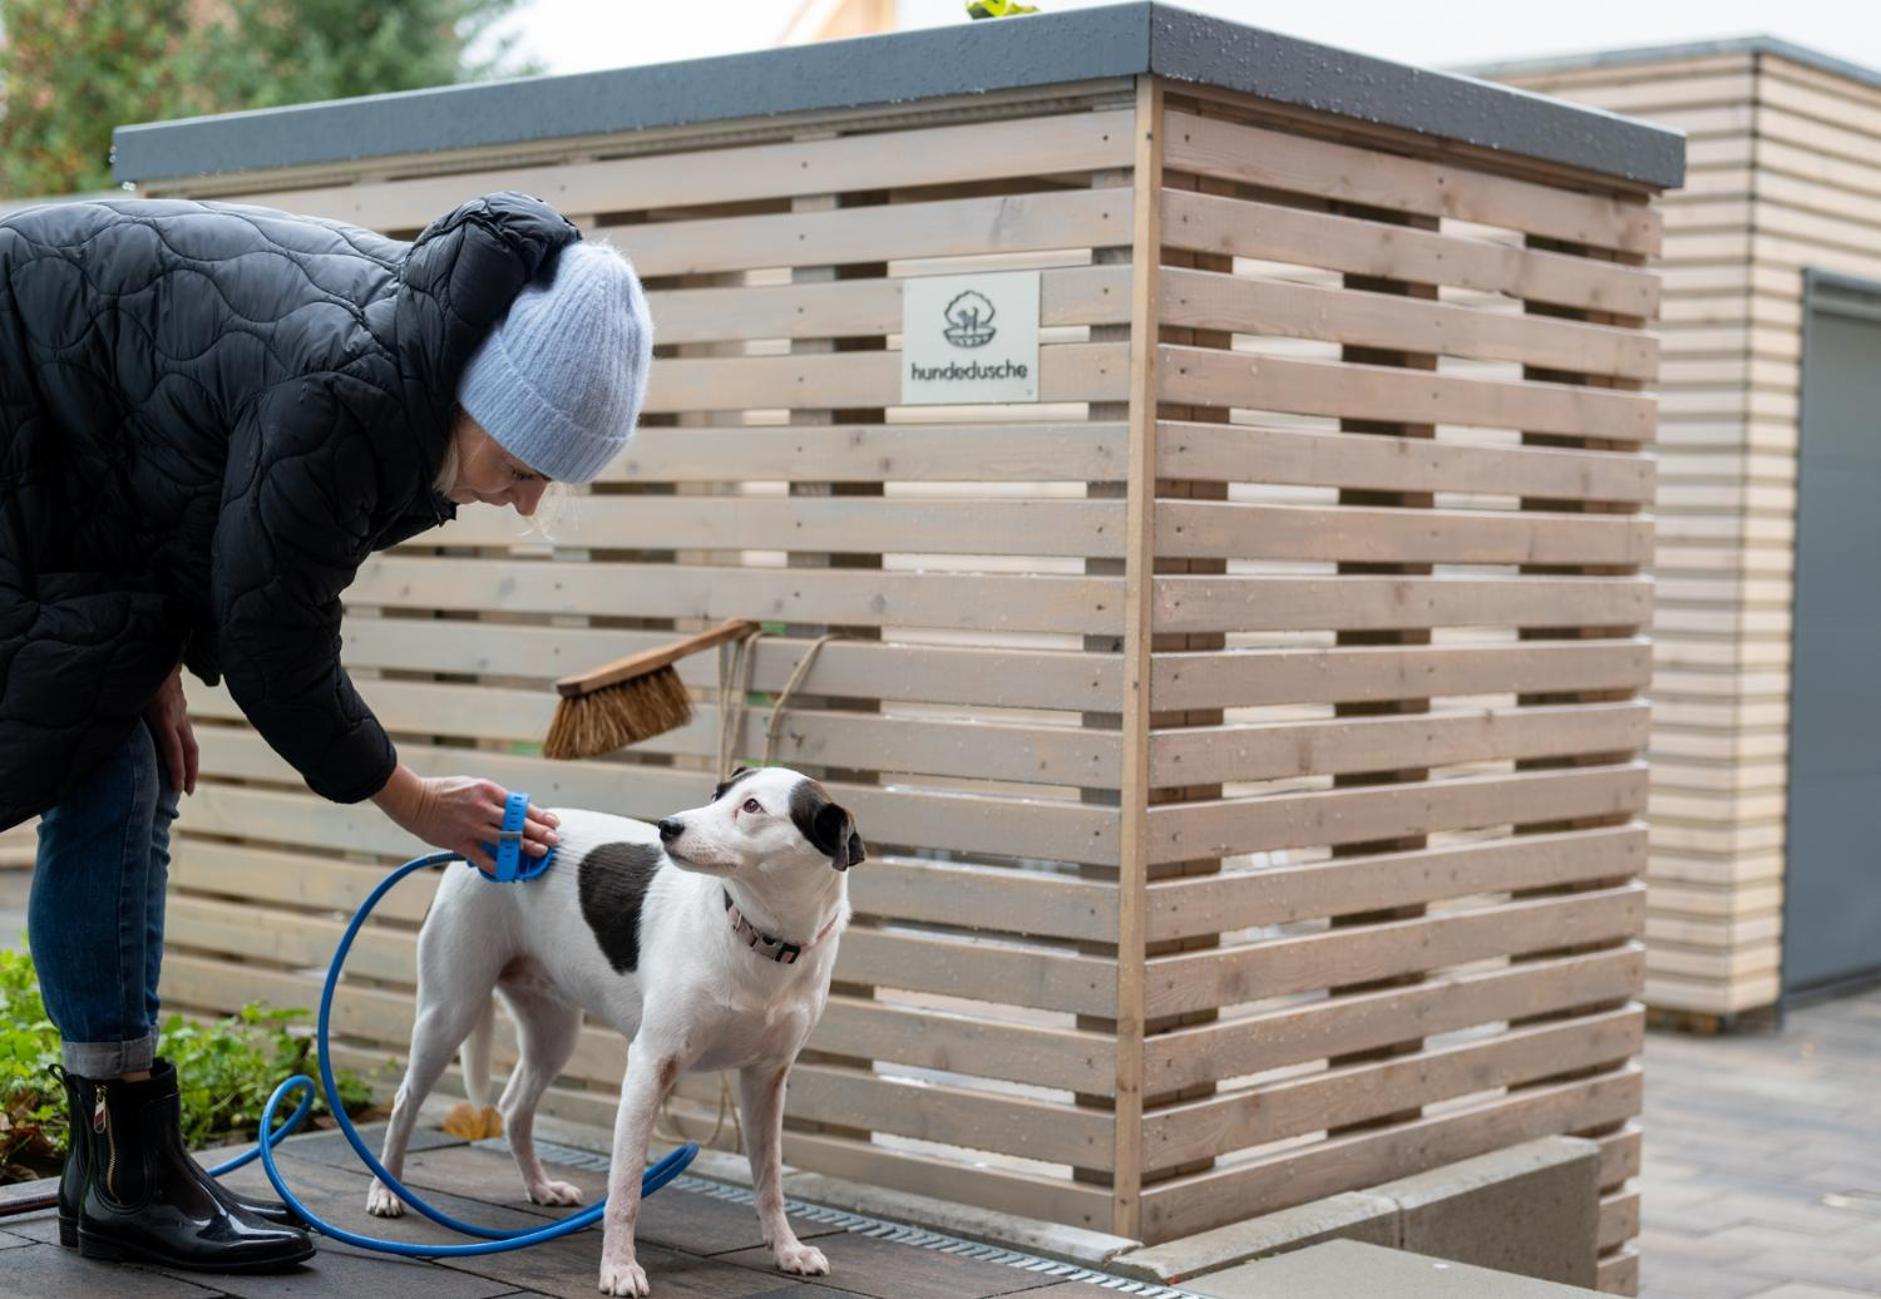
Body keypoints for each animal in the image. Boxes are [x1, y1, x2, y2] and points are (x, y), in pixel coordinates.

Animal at [363, 766, 861, 1293]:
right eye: (716, 795)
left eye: (752, 807)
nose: (668, 828)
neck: (758, 936)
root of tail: (470, 850)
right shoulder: (650, 1067)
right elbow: (625, 1190)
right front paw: (619, 1267)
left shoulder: (766, 1080)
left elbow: (770, 1182)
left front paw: (787, 1249)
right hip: (448, 1012)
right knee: (405, 1102)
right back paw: (385, 1190)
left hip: (553, 1033)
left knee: (515, 1107)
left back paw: (539, 1186)